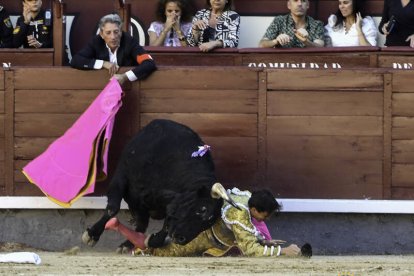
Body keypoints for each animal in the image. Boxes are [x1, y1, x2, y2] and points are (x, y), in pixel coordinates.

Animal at [82, 119, 238, 249]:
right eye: (202, 209)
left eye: (210, 222)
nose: (181, 239)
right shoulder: (121, 176)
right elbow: (112, 208)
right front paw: (91, 235)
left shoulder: (171, 203)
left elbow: (167, 224)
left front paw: (152, 241)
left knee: (142, 225)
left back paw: (130, 244)